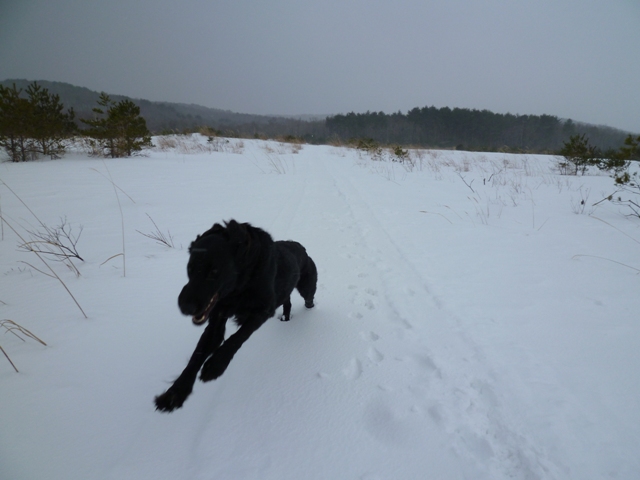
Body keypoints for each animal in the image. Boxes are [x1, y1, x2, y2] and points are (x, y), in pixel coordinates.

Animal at [154, 221, 316, 412]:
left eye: (214, 271)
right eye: (189, 268)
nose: (185, 307)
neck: (239, 288)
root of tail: (300, 247)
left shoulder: (262, 310)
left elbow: (238, 337)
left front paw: (215, 366)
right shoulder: (216, 321)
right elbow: (196, 355)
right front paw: (175, 393)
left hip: (307, 288)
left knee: (308, 300)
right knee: (287, 302)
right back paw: (285, 318)